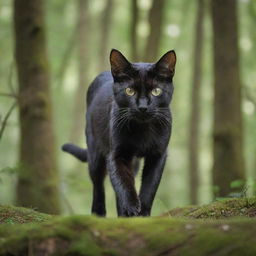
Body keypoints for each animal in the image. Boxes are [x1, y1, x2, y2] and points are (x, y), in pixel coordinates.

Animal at [62, 49, 176, 217]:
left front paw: (142, 213)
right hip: (95, 153)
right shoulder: (116, 155)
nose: (143, 107)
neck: (142, 130)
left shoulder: (158, 155)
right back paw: (99, 213)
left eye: (156, 91)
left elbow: (149, 187)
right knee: (98, 184)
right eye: (130, 91)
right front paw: (131, 209)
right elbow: (124, 185)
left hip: (133, 163)